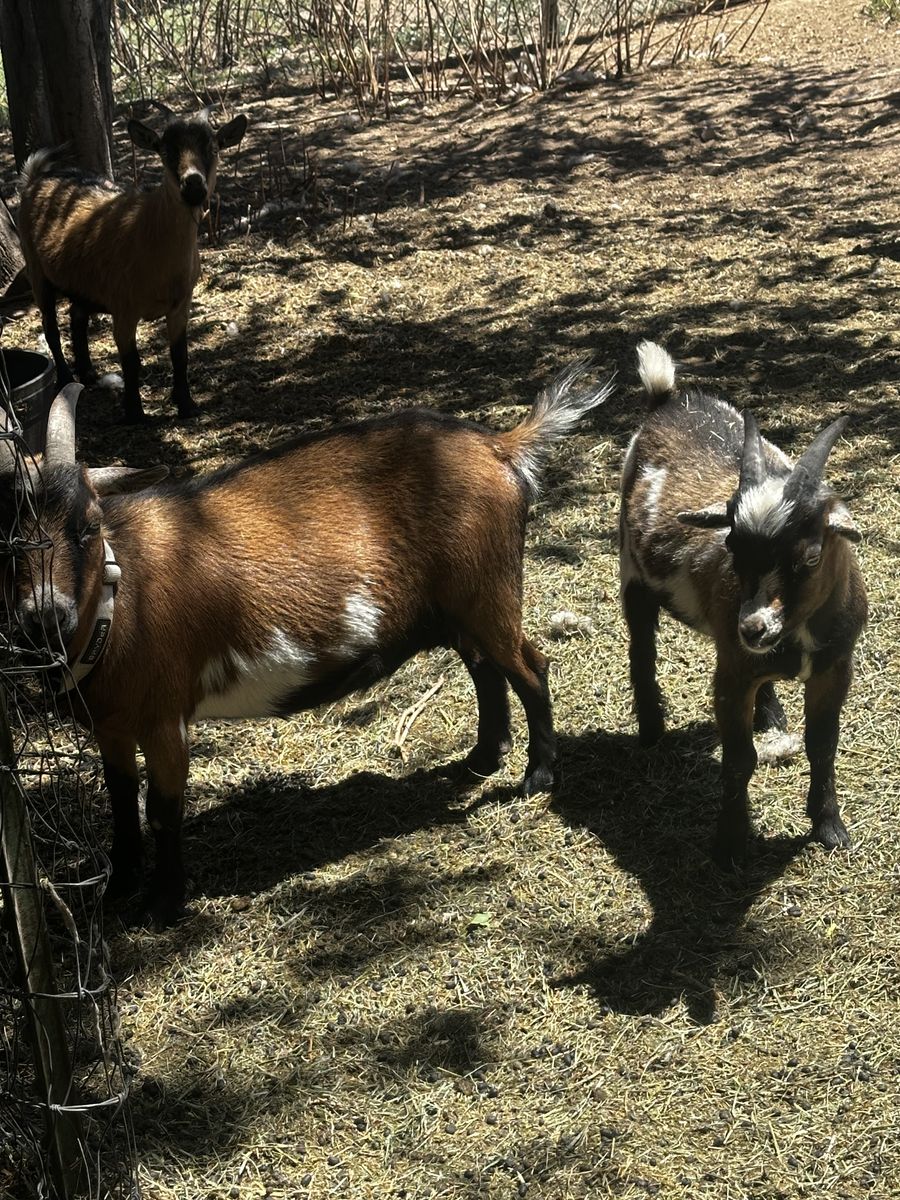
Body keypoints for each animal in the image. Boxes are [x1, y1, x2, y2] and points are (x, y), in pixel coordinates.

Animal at [1, 366, 612, 924]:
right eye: (5, 539)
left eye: (88, 525)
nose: (45, 616)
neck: (120, 596)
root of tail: (501, 446)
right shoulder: (111, 726)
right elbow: (121, 804)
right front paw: (117, 889)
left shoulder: (165, 716)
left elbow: (161, 810)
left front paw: (164, 904)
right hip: (459, 609)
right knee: (486, 669)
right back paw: (483, 758)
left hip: (489, 592)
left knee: (530, 668)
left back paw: (537, 777)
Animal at [16, 110, 247, 424]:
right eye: (165, 151)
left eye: (213, 149)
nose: (194, 185)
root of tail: (36, 176)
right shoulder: (124, 309)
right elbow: (131, 361)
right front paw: (135, 411)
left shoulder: (180, 304)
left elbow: (180, 355)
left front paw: (186, 404)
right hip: (36, 269)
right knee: (51, 328)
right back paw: (66, 378)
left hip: (83, 281)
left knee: (77, 315)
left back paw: (88, 373)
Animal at [620, 341, 867, 866]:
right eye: (732, 546)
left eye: (810, 555)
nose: (753, 627)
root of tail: (668, 400)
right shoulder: (731, 674)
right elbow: (739, 760)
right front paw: (730, 843)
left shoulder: (836, 666)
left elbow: (823, 744)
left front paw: (829, 827)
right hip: (632, 570)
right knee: (641, 648)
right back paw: (651, 731)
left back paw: (769, 711)